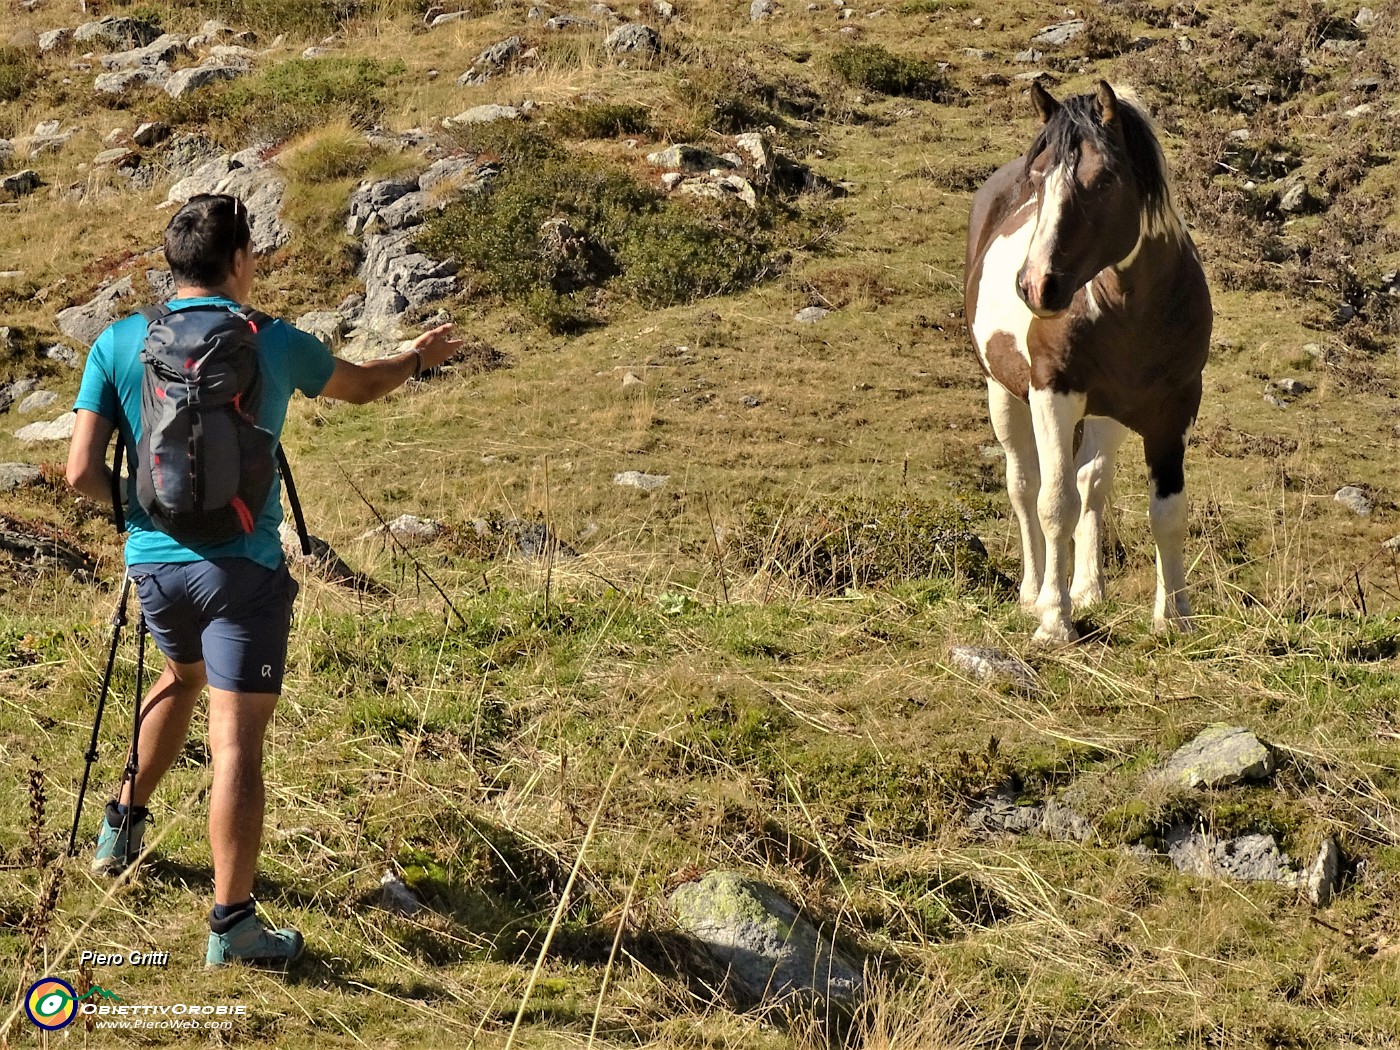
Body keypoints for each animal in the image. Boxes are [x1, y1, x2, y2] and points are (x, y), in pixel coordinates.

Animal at [968, 82, 1209, 641]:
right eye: (1038, 178)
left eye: (1102, 180)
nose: (1036, 286)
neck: (1128, 311)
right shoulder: (1053, 395)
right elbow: (1054, 504)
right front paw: (1055, 621)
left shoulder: (1175, 409)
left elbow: (1167, 513)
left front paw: (1176, 618)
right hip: (1004, 396)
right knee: (1025, 486)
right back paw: (1033, 593)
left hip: (1108, 413)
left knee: (1091, 483)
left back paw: (1088, 589)